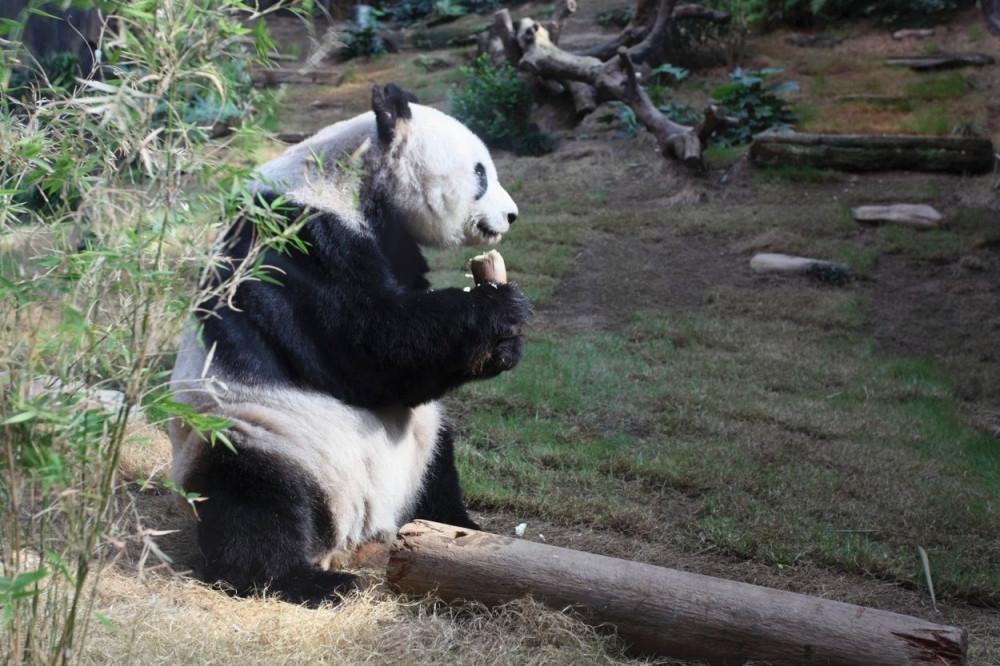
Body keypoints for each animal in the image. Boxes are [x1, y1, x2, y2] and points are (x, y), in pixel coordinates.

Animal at [168, 84, 530, 605]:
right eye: (481, 172)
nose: (511, 215)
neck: (357, 179)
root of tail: (357, 528)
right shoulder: (300, 238)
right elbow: (367, 345)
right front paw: (500, 307)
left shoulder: (393, 242)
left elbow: (408, 369)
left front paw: (505, 343)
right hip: (256, 431)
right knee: (256, 504)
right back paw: (308, 581)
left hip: (419, 446)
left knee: (440, 466)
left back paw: (458, 527)